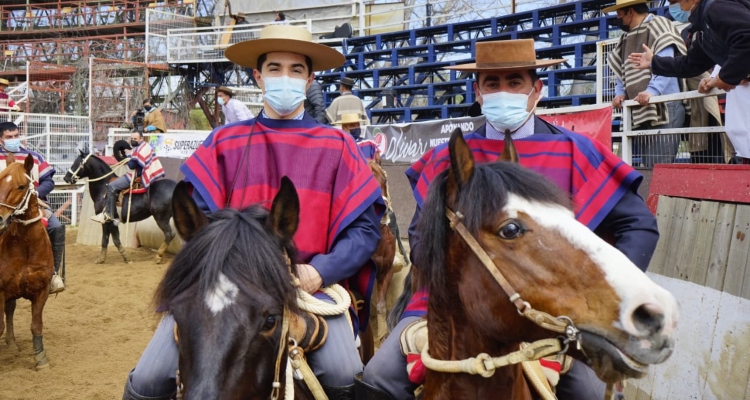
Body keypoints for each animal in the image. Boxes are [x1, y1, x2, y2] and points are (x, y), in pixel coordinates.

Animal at [0, 152, 54, 368]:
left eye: (21, 186)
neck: (26, 247)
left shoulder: (42, 290)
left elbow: (36, 325)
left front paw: (41, 359)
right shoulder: (1, 290)